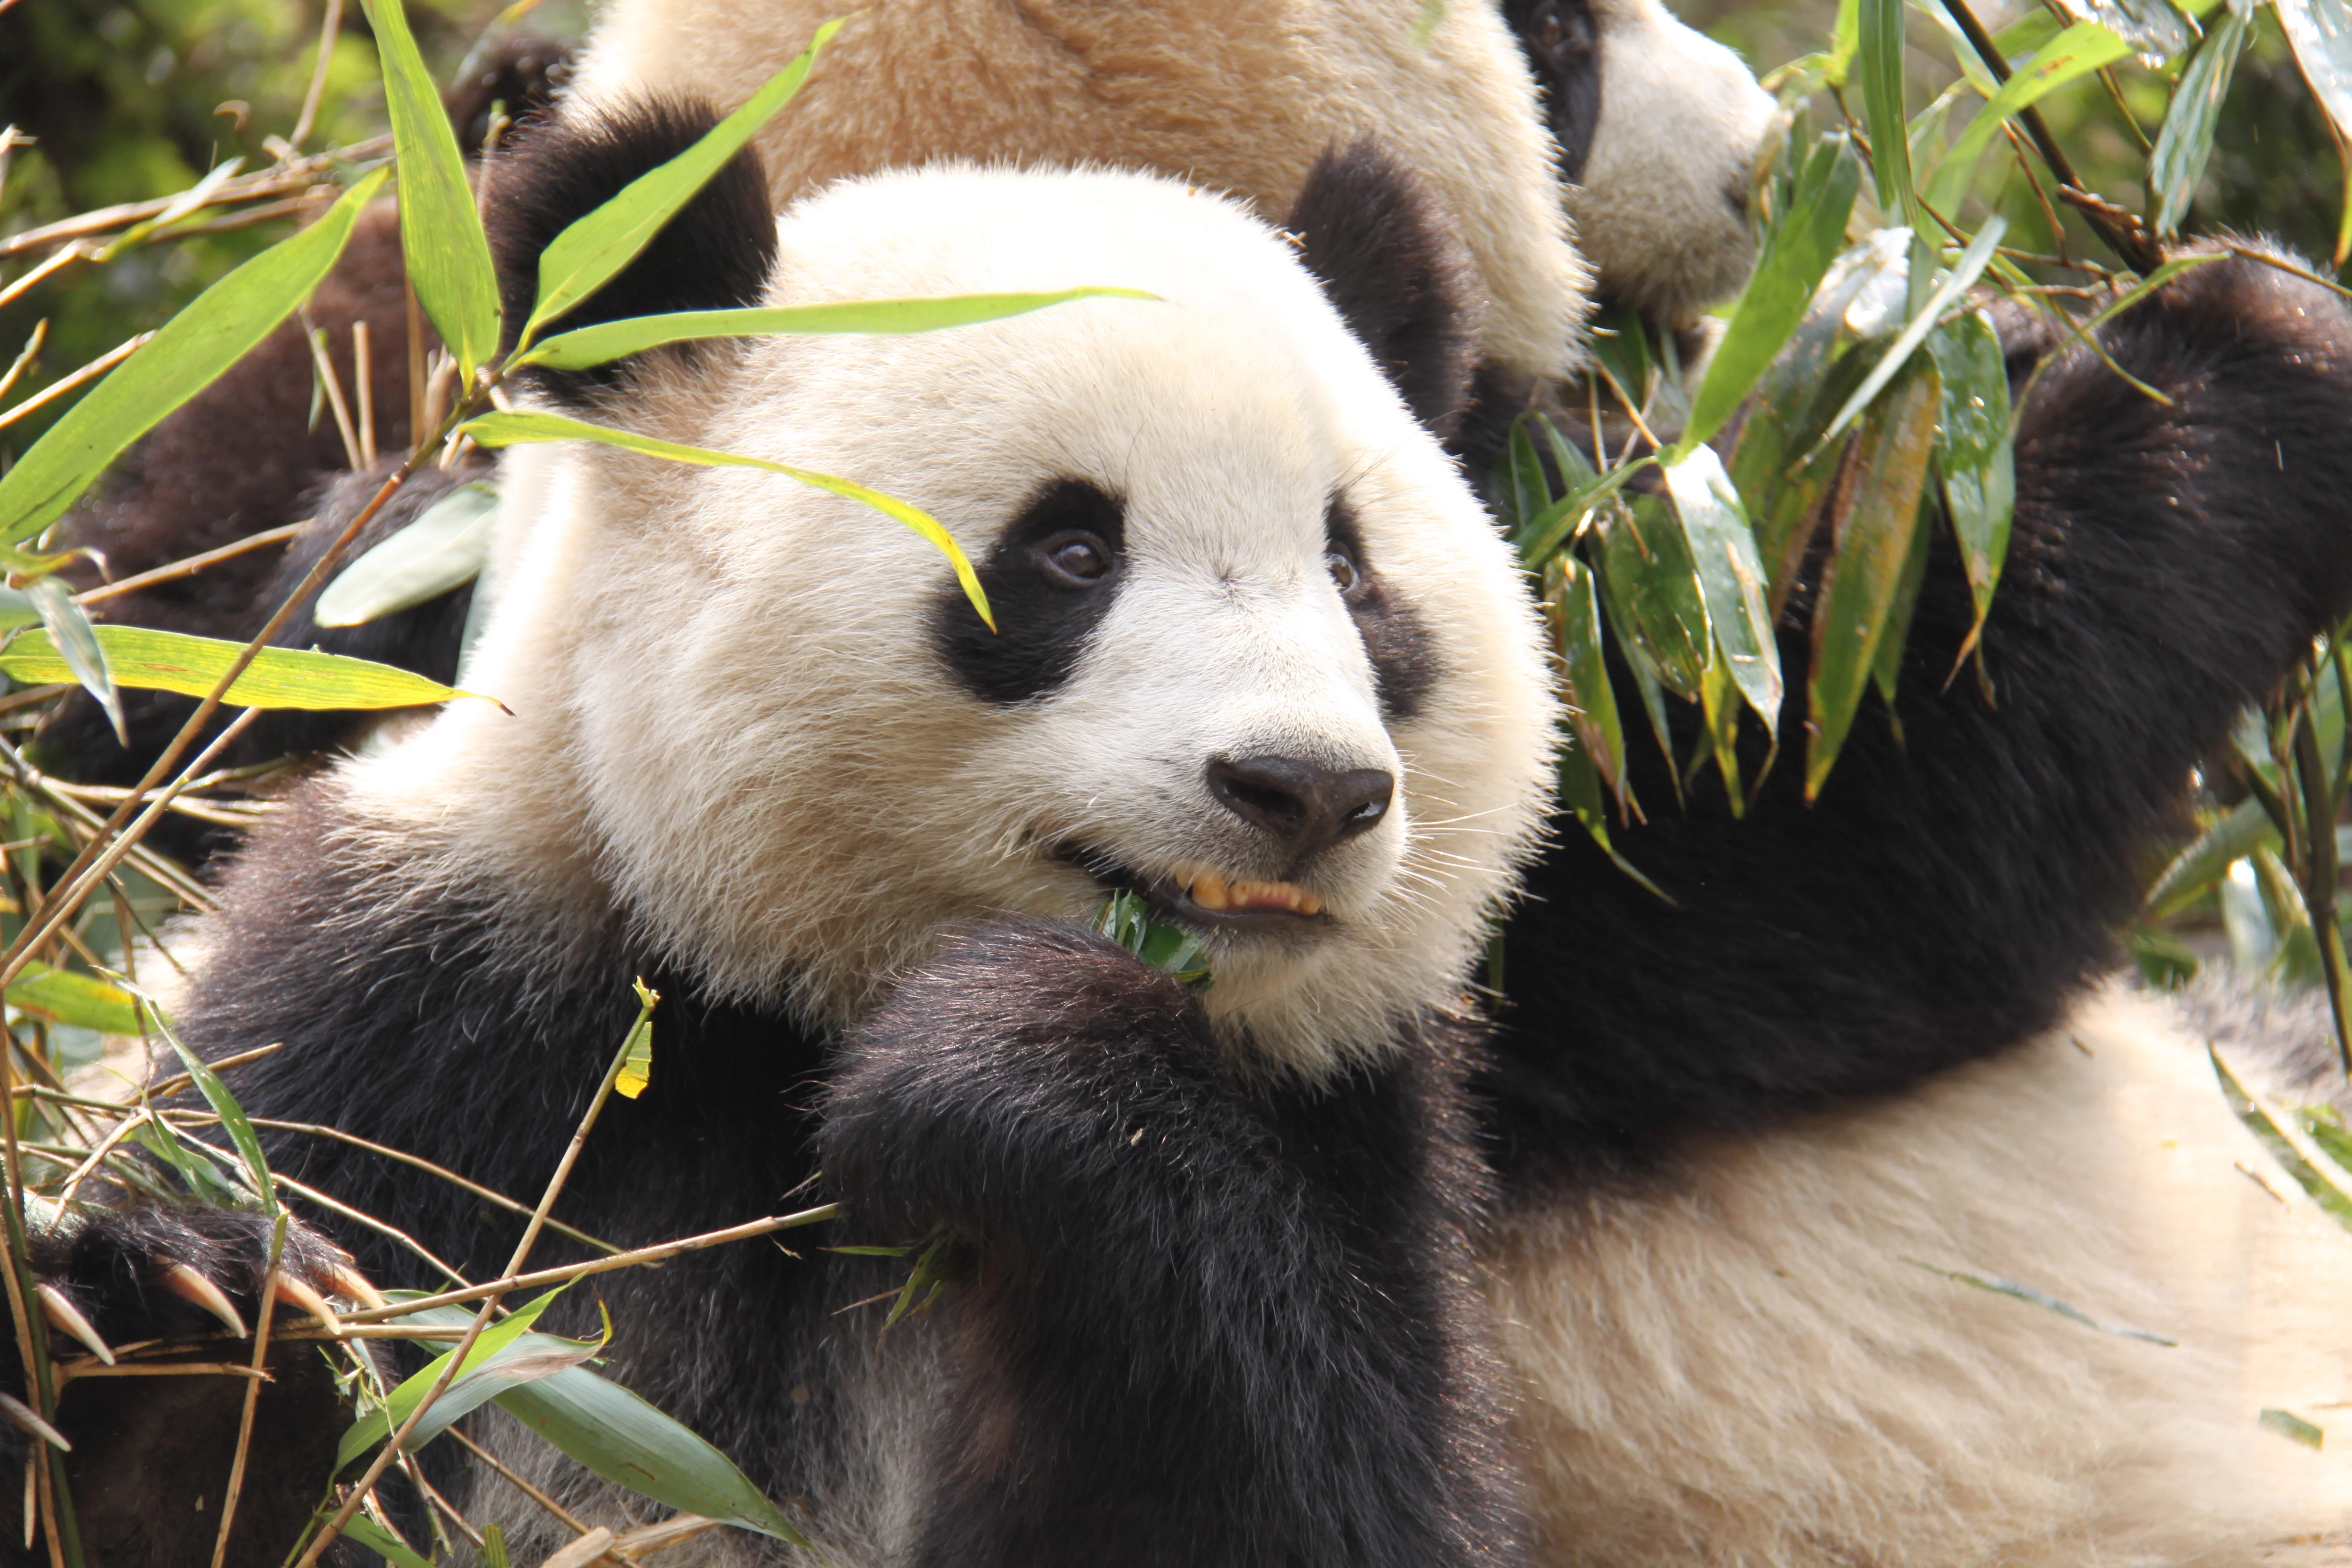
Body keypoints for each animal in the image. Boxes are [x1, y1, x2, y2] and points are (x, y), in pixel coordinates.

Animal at [4, 109, 1561, 1568]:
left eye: (1352, 573)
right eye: (1070, 552)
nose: (1305, 788)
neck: (792, 1009)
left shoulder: (1347, 1120)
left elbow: (1309, 1494)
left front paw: (1015, 1061)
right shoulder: (434, 995)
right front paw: (194, 1354)